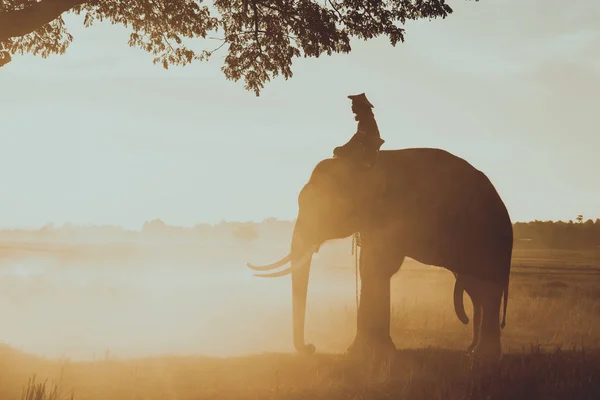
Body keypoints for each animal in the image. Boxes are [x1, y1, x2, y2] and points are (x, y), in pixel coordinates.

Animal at [246, 147, 512, 360]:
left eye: (324, 207)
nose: (311, 348)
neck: (364, 165)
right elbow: (369, 265)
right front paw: (363, 352)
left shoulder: (396, 214)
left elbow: (379, 265)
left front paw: (366, 353)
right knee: (475, 289)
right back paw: (472, 351)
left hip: (486, 239)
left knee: (485, 288)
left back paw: (483, 355)